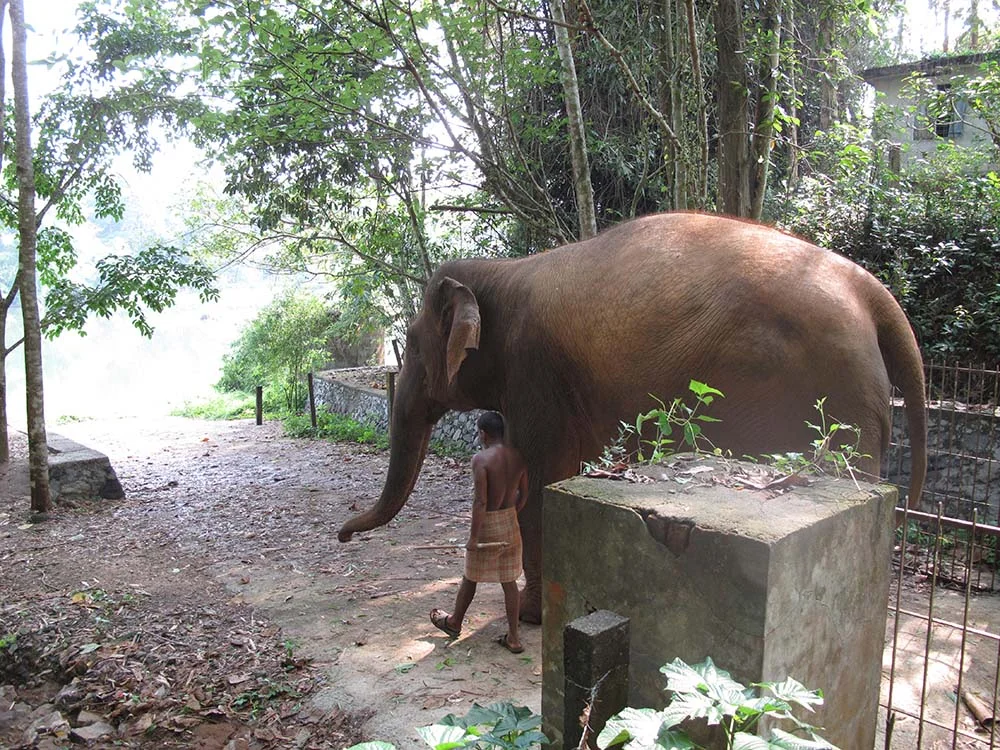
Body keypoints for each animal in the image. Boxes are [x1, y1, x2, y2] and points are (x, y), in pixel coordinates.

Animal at [338, 211, 928, 624]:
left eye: (411, 343)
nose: (343, 535)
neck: (501, 273)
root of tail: (872, 292)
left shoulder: (534, 371)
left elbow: (542, 480)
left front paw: (530, 618)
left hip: (829, 397)